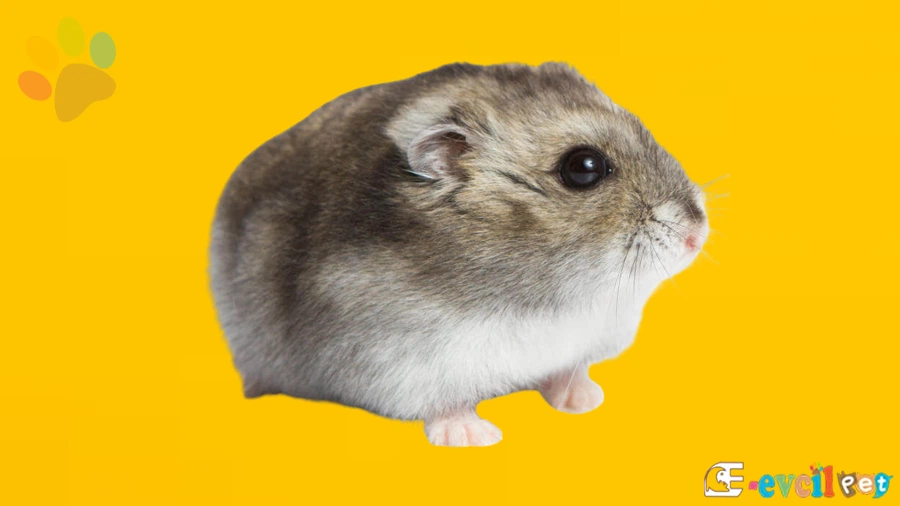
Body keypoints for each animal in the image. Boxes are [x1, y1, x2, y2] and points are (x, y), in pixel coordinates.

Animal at [209, 62, 708, 447]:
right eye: (584, 167)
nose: (696, 234)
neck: (555, 294)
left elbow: (567, 371)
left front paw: (585, 400)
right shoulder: (396, 358)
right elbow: (442, 402)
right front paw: (476, 436)